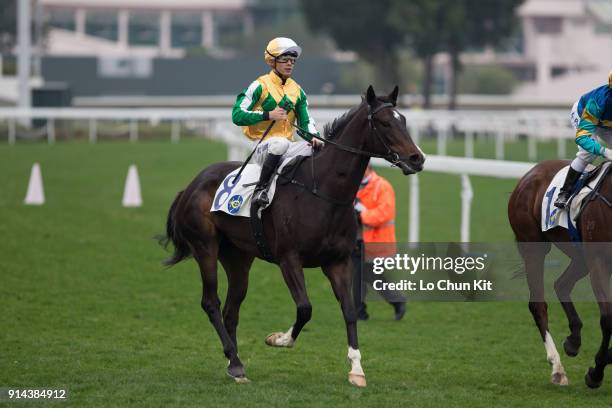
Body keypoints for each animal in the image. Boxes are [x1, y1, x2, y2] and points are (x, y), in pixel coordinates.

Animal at [160, 85, 424, 386]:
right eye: (384, 122)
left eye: (403, 120)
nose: (417, 158)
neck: (322, 192)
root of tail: (190, 186)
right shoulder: (289, 260)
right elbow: (305, 308)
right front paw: (279, 339)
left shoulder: (338, 262)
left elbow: (349, 310)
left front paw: (357, 369)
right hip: (205, 247)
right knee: (211, 302)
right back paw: (235, 361)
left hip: (238, 257)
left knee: (231, 309)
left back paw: (235, 364)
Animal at [510, 159, 608, 386]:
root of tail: (531, 172)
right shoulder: (598, 261)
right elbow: (608, 318)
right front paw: (595, 373)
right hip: (534, 247)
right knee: (538, 304)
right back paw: (557, 368)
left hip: (580, 257)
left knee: (561, 284)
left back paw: (574, 340)